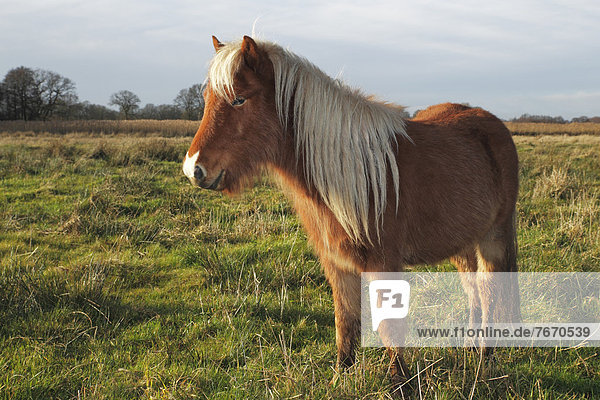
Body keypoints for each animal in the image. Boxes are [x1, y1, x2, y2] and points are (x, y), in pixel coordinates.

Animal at [183, 36, 520, 386]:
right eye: (206, 98)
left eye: (239, 99)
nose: (193, 170)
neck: (355, 172)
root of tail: (492, 122)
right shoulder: (337, 263)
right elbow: (345, 323)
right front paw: (340, 377)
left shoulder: (384, 263)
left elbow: (389, 328)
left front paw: (400, 384)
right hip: (462, 244)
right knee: (475, 292)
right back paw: (471, 348)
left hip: (493, 238)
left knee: (490, 292)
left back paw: (485, 361)